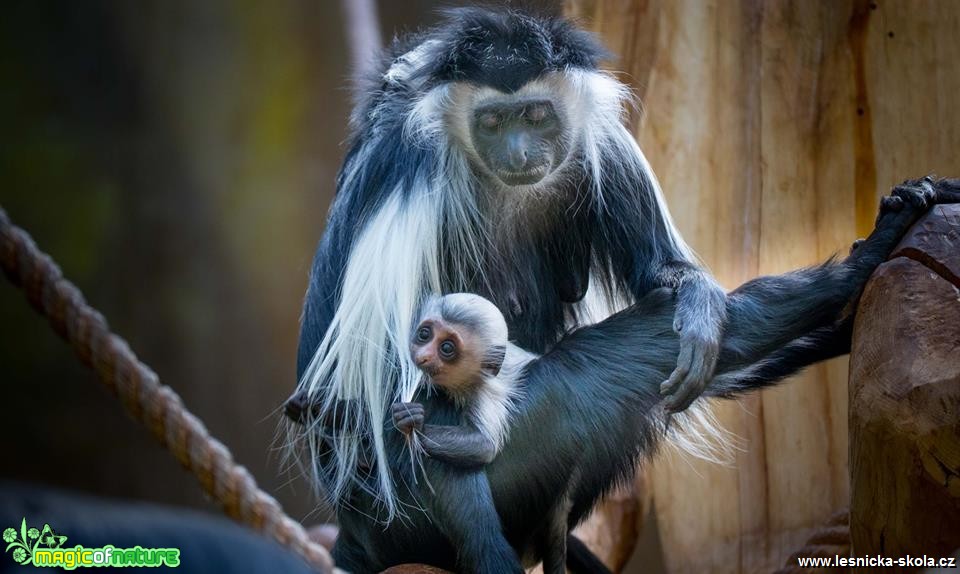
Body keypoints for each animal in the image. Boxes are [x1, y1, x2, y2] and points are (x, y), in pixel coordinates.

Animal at [394, 294, 536, 470]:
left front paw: (413, 422)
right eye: (424, 334)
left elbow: (484, 445)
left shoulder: (484, 389)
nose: (422, 357)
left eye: (447, 348)